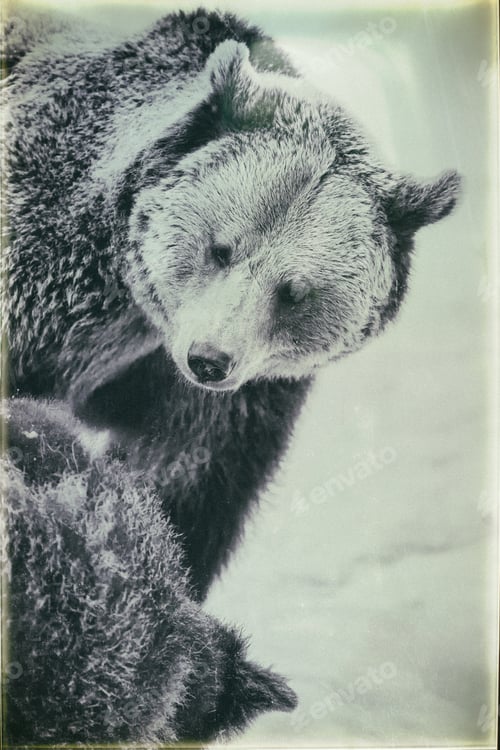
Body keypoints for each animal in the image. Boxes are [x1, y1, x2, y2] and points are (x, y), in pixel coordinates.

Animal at [2, 5, 461, 605]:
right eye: (222, 247)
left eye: (294, 291)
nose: (209, 359)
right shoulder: (43, 264)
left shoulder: (234, 394)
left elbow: (187, 482)